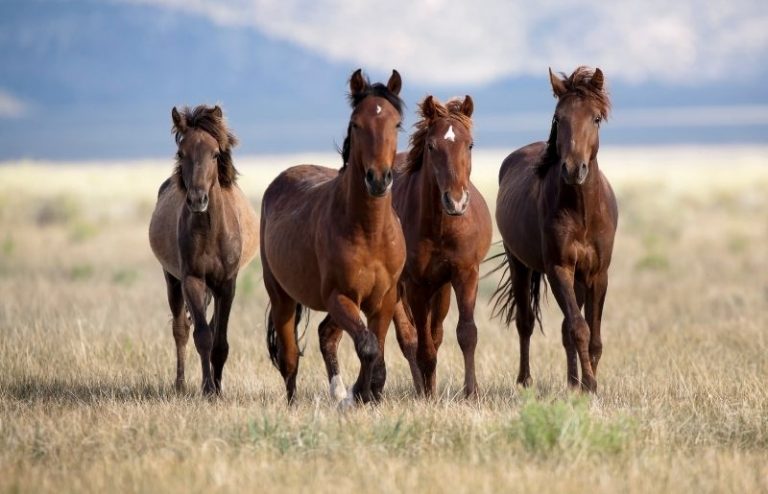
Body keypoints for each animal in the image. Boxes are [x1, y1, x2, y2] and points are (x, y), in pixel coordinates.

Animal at [148, 105, 259, 395]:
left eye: (215, 153)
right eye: (181, 153)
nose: (198, 199)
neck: (210, 232)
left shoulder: (226, 285)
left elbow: (220, 341)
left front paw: (217, 388)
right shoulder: (192, 280)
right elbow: (202, 337)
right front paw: (208, 389)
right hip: (172, 280)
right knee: (181, 329)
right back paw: (180, 384)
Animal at [260, 69, 406, 405]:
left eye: (396, 123)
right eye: (356, 123)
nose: (378, 179)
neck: (369, 232)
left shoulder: (384, 299)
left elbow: (376, 347)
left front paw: (367, 393)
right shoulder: (340, 296)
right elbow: (368, 346)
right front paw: (360, 394)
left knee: (327, 335)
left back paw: (339, 393)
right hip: (282, 297)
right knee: (290, 357)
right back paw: (296, 404)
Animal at [318, 95, 492, 399]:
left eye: (469, 144)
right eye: (432, 146)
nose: (456, 201)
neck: (440, 227)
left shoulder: (465, 273)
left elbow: (466, 333)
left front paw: (471, 392)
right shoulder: (416, 285)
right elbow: (422, 346)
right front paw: (428, 395)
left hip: (439, 289)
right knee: (408, 339)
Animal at [493, 67, 618, 392]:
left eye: (595, 118)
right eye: (558, 118)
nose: (574, 169)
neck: (582, 212)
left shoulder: (597, 274)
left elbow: (593, 336)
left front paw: (586, 383)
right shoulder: (559, 268)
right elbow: (579, 328)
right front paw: (590, 385)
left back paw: (572, 382)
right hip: (519, 264)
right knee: (525, 322)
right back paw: (525, 380)